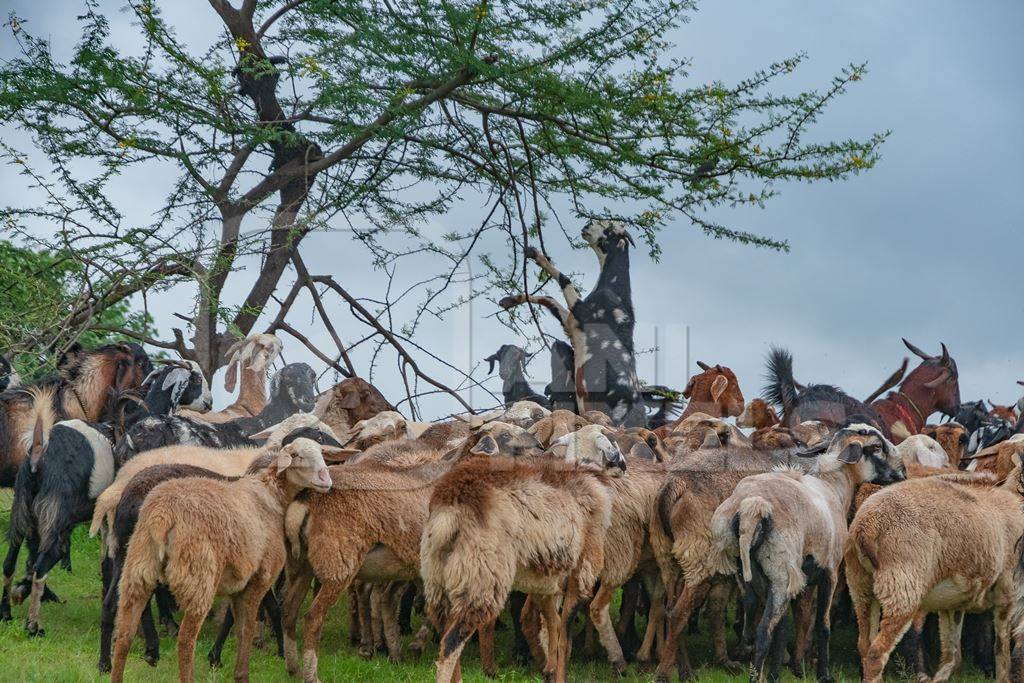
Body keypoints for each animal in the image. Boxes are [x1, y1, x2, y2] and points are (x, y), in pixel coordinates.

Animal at [109, 438, 331, 683]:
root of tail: (163, 516)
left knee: (125, 635)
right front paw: (244, 673)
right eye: (297, 456)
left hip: (138, 566)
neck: (271, 495)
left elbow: (237, 624)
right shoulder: (259, 579)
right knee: (186, 641)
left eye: (322, 453)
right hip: (198, 576)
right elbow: (248, 628)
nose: (326, 479)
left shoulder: (238, 584)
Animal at [712, 423, 905, 679]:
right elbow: (823, 625)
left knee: (754, 625)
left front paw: (776, 674)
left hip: (749, 572)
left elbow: (783, 629)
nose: (903, 473)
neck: (834, 488)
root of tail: (751, 507)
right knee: (764, 632)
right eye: (876, 447)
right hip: (781, 572)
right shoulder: (829, 572)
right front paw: (824, 674)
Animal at [843, 466, 1024, 683]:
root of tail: (866, 527)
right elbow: (1003, 649)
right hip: (902, 587)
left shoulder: (953, 605)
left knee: (864, 644)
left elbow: (951, 655)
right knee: (877, 653)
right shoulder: (1009, 593)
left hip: (860, 585)